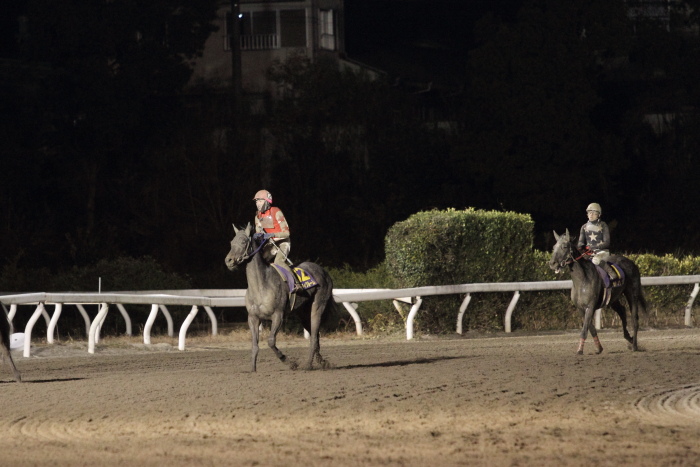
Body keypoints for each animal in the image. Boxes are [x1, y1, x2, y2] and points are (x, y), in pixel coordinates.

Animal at [224, 223, 334, 372]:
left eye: (243, 241)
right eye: (231, 242)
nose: (228, 260)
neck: (261, 286)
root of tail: (324, 272)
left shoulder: (278, 315)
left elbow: (271, 341)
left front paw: (290, 362)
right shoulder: (253, 317)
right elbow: (254, 345)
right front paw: (253, 369)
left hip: (317, 306)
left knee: (314, 336)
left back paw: (308, 365)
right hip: (303, 313)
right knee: (315, 336)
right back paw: (322, 362)